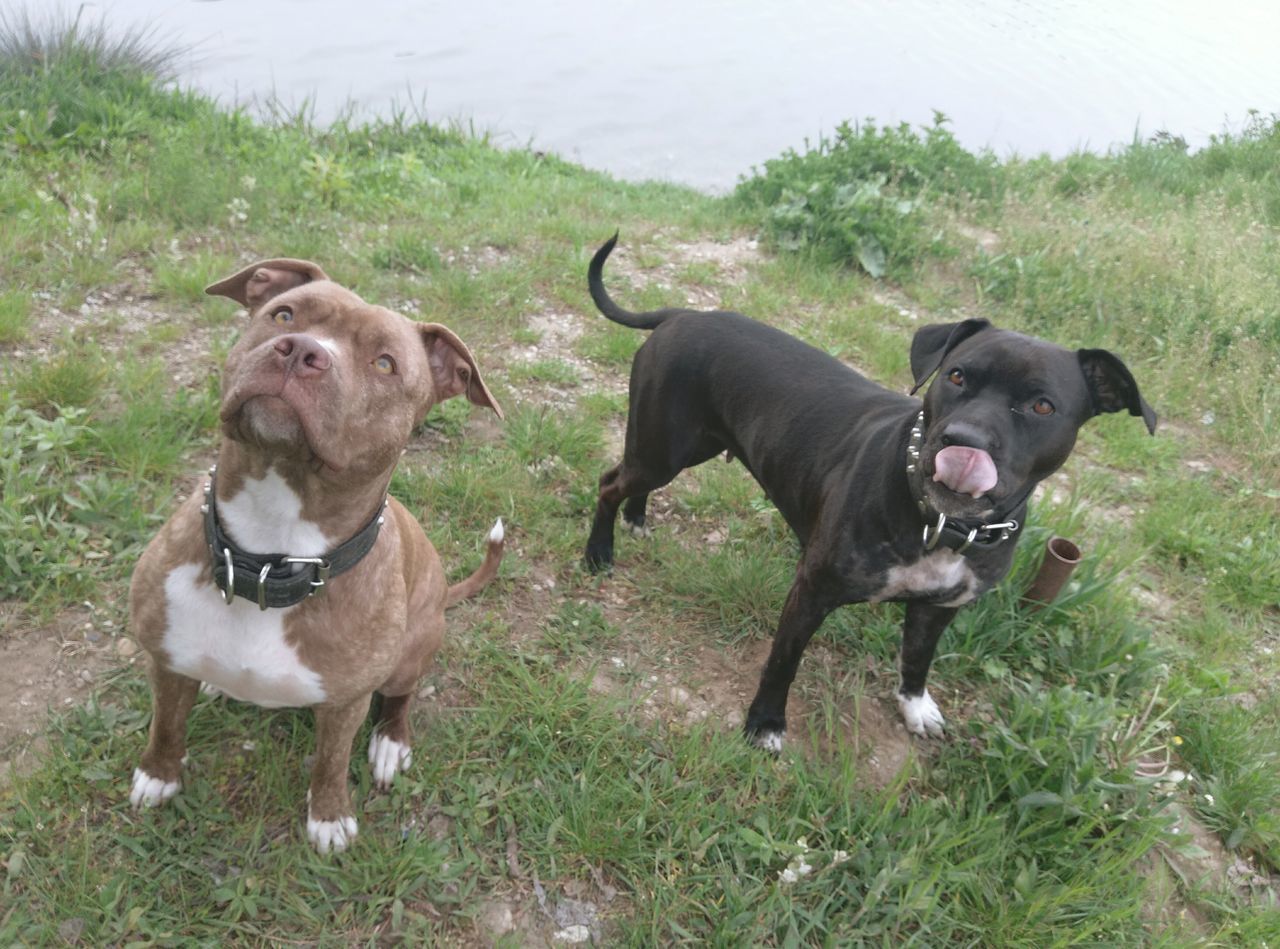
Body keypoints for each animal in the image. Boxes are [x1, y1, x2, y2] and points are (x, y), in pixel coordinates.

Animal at [128, 257, 504, 850]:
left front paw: (329, 817)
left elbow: (330, 761)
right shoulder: (163, 658)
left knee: (400, 698)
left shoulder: (345, 702)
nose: (301, 350)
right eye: (284, 314)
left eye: (384, 363)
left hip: (413, 649)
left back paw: (391, 742)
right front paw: (158, 774)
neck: (269, 557)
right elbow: (167, 723)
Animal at [586, 235, 1157, 747]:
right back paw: (599, 552)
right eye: (955, 376)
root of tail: (684, 314)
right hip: (662, 447)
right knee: (609, 483)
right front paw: (766, 724)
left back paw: (637, 519)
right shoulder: (812, 590)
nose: (964, 441)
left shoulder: (940, 608)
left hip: (680, 449)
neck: (939, 523)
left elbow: (917, 658)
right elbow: (783, 662)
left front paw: (915, 706)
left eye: (1042, 406)